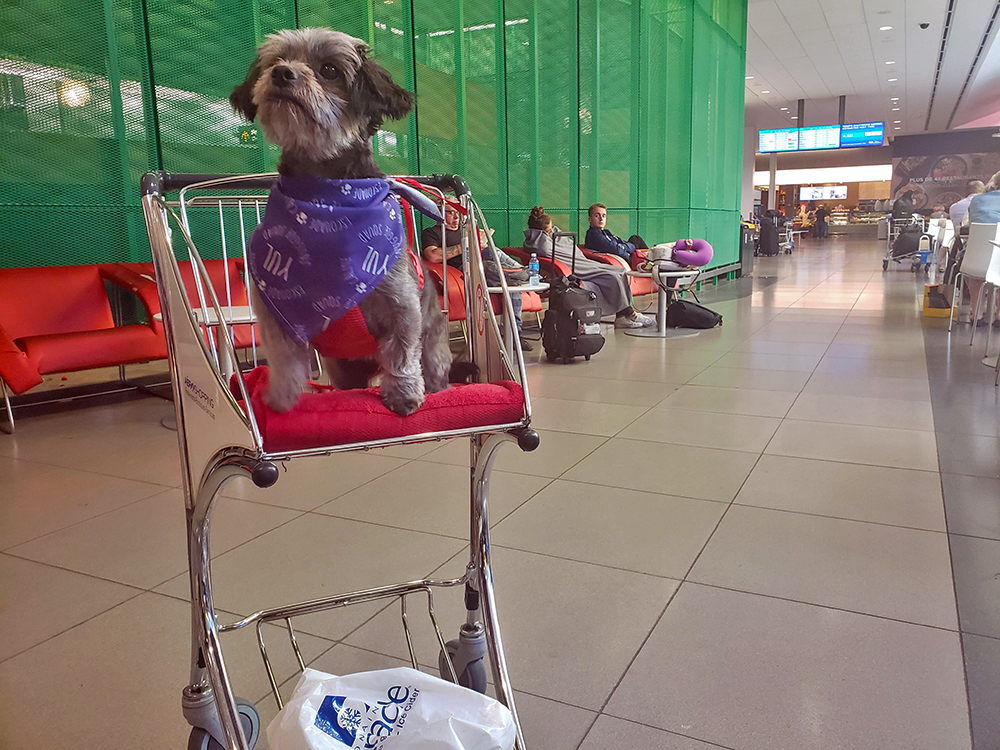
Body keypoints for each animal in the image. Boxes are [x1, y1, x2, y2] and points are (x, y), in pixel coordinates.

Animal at [230, 27, 454, 418]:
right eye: (275, 61)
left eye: (330, 70)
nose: (282, 74)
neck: (326, 196)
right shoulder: (276, 311)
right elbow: (285, 360)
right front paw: (280, 400)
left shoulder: (399, 303)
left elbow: (402, 354)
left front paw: (403, 395)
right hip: (344, 373)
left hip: (435, 351)